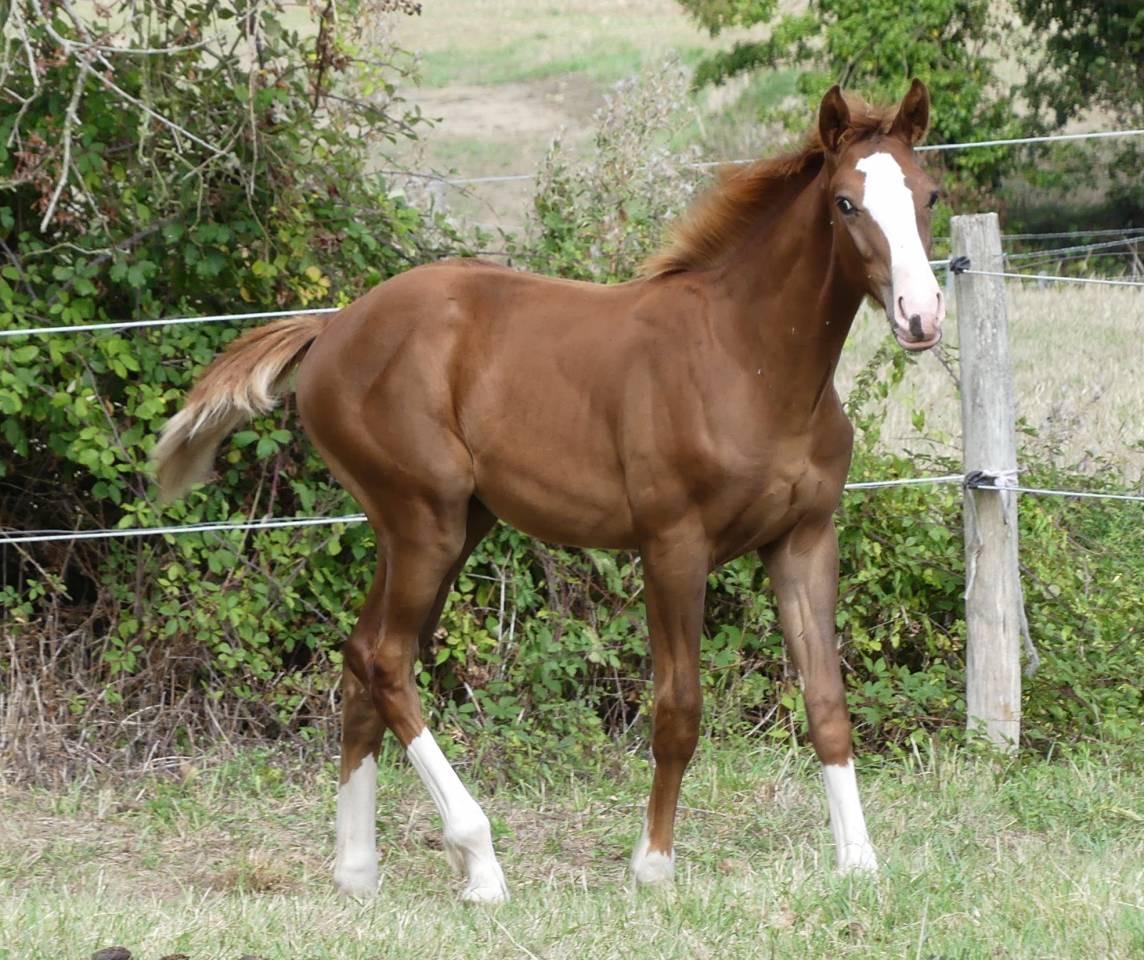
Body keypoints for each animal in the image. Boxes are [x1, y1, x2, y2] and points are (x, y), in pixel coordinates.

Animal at [153, 79, 944, 903]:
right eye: (847, 204)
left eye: (929, 194)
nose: (921, 317)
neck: (747, 361)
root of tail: (334, 326)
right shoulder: (673, 545)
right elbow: (679, 708)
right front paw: (652, 865)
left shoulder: (803, 540)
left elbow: (827, 702)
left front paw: (860, 863)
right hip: (424, 521)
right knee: (387, 662)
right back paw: (479, 861)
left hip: (440, 529)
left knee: (361, 660)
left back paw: (358, 870)